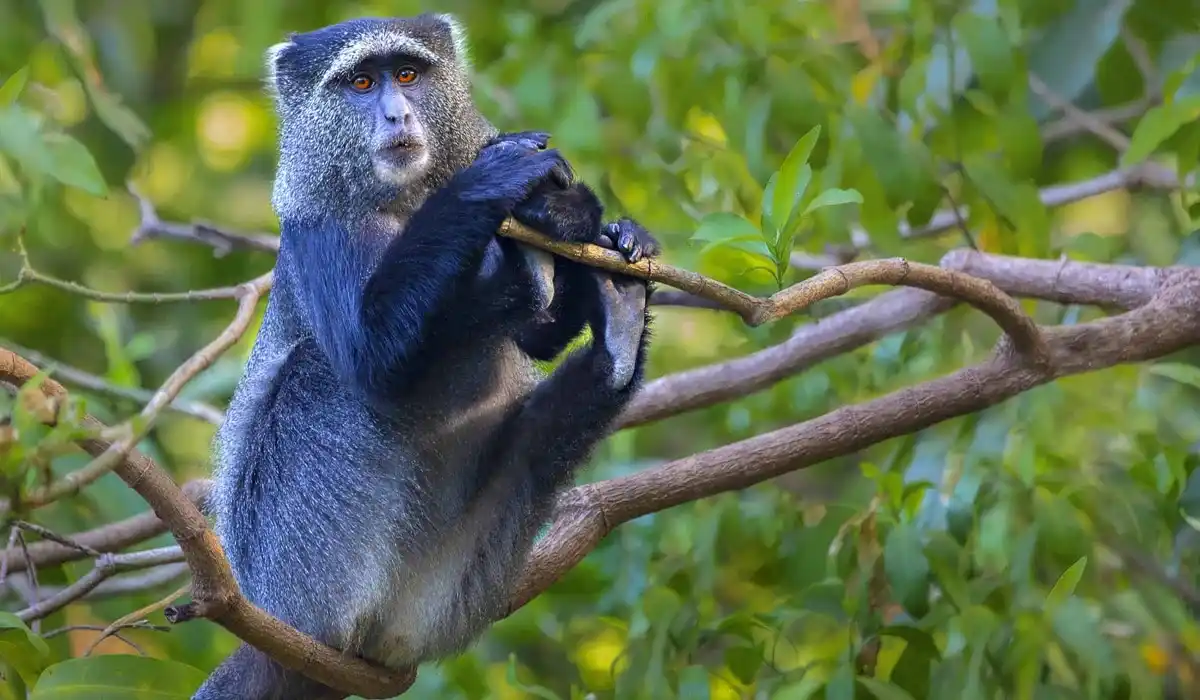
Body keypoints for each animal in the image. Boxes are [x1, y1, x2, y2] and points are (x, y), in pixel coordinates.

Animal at [193, 13, 659, 700]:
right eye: (361, 83)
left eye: (408, 75)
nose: (396, 114)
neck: (408, 201)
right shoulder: (319, 226)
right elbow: (373, 357)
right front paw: (491, 183)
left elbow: (540, 338)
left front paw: (581, 218)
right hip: (294, 575)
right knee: (318, 375)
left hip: (444, 589)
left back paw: (617, 334)